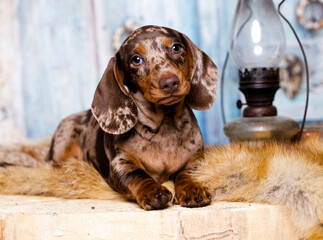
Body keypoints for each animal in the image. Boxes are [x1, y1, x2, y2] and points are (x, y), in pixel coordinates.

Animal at [45, 25, 218, 210]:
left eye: (176, 48)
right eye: (136, 60)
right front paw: (153, 191)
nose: (170, 82)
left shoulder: (195, 160)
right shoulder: (120, 162)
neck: (165, 125)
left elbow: (187, 173)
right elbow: (137, 175)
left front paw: (192, 188)